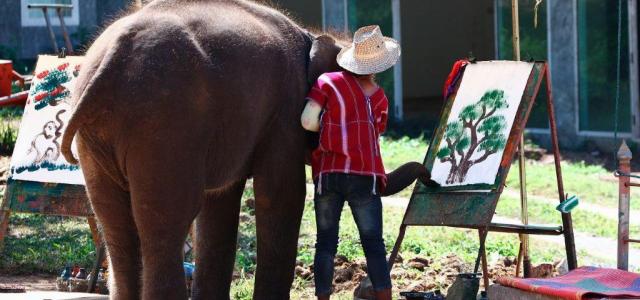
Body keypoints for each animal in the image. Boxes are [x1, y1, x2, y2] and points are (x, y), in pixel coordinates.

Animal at [61, 1, 344, 298]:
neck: (311, 37)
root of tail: (111, 59)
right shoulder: (285, 113)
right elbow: (281, 194)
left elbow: (219, 203)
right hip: (165, 126)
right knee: (166, 227)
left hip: (99, 137)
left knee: (117, 229)